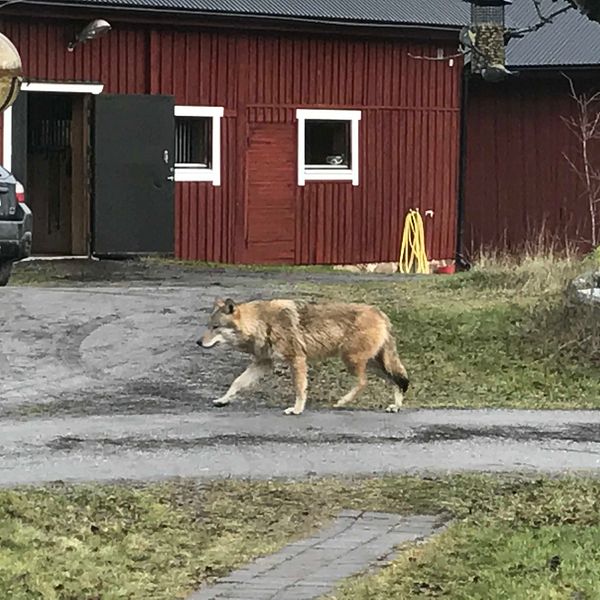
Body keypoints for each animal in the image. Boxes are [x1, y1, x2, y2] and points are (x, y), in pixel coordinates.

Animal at [199, 298, 410, 414]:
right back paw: (396, 406)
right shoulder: (263, 363)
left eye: (215, 327)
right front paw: (223, 400)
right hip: (373, 363)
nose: (198, 343)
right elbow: (237, 382)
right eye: (208, 326)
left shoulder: (297, 360)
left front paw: (297, 410)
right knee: (397, 380)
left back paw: (342, 402)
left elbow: (300, 388)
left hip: (352, 360)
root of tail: (381, 313)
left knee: (365, 382)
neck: (263, 323)